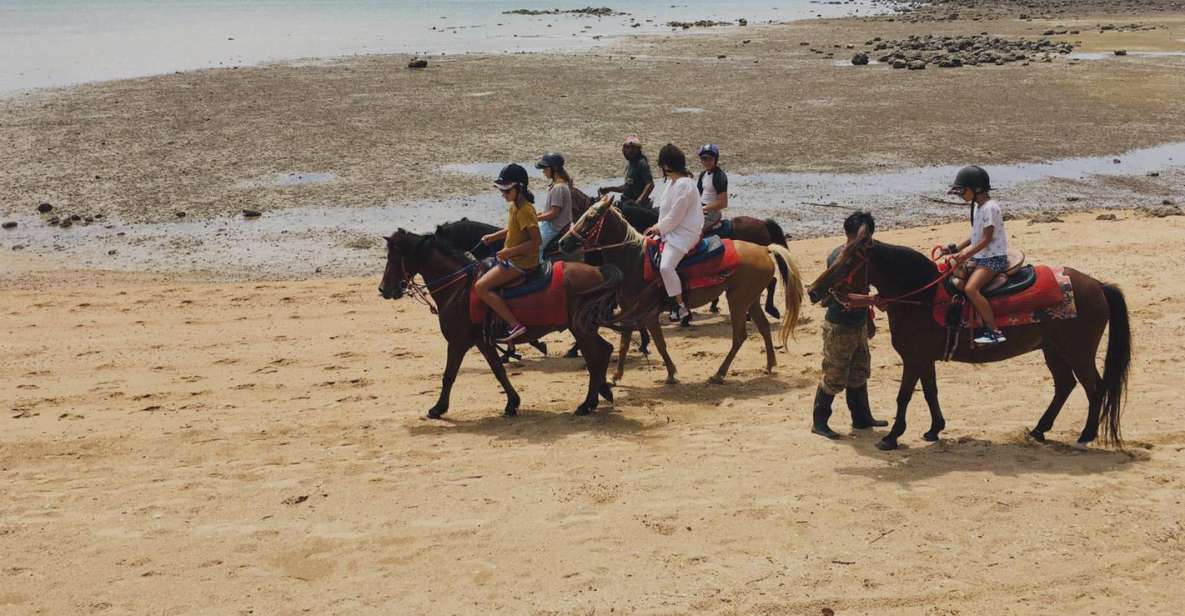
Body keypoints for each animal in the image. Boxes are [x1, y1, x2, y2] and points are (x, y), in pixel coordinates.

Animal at [379, 228, 620, 416]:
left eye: (393, 258)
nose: (383, 289)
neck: (459, 288)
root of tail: (599, 272)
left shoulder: (457, 342)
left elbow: (449, 375)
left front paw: (438, 408)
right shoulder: (482, 342)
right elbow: (498, 370)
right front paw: (512, 403)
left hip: (581, 329)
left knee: (597, 356)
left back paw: (588, 403)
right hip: (584, 329)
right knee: (602, 353)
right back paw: (599, 395)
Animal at [556, 197, 805, 383]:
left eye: (590, 218)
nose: (562, 242)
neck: (635, 261)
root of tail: (764, 249)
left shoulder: (647, 313)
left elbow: (657, 342)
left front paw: (670, 372)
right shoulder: (631, 310)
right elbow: (628, 340)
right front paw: (618, 375)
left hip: (737, 301)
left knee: (740, 336)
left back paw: (719, 373)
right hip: (749, 300)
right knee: (763, 327)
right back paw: (770, 363)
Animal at [805, 216, 1128, 452]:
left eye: (849, 262)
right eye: (838, 257)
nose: (814, 291)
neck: (923, 297)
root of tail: (1098, 285)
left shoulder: (914, 359)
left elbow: (904, 396)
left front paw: (892, 437)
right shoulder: (924, 359)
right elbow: (931, 392)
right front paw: (934, 429)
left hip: (1078, 351)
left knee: (1094, 388)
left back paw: (1085, 436)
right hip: (1054, 350)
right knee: (1065, 386)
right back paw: (1039, 430)